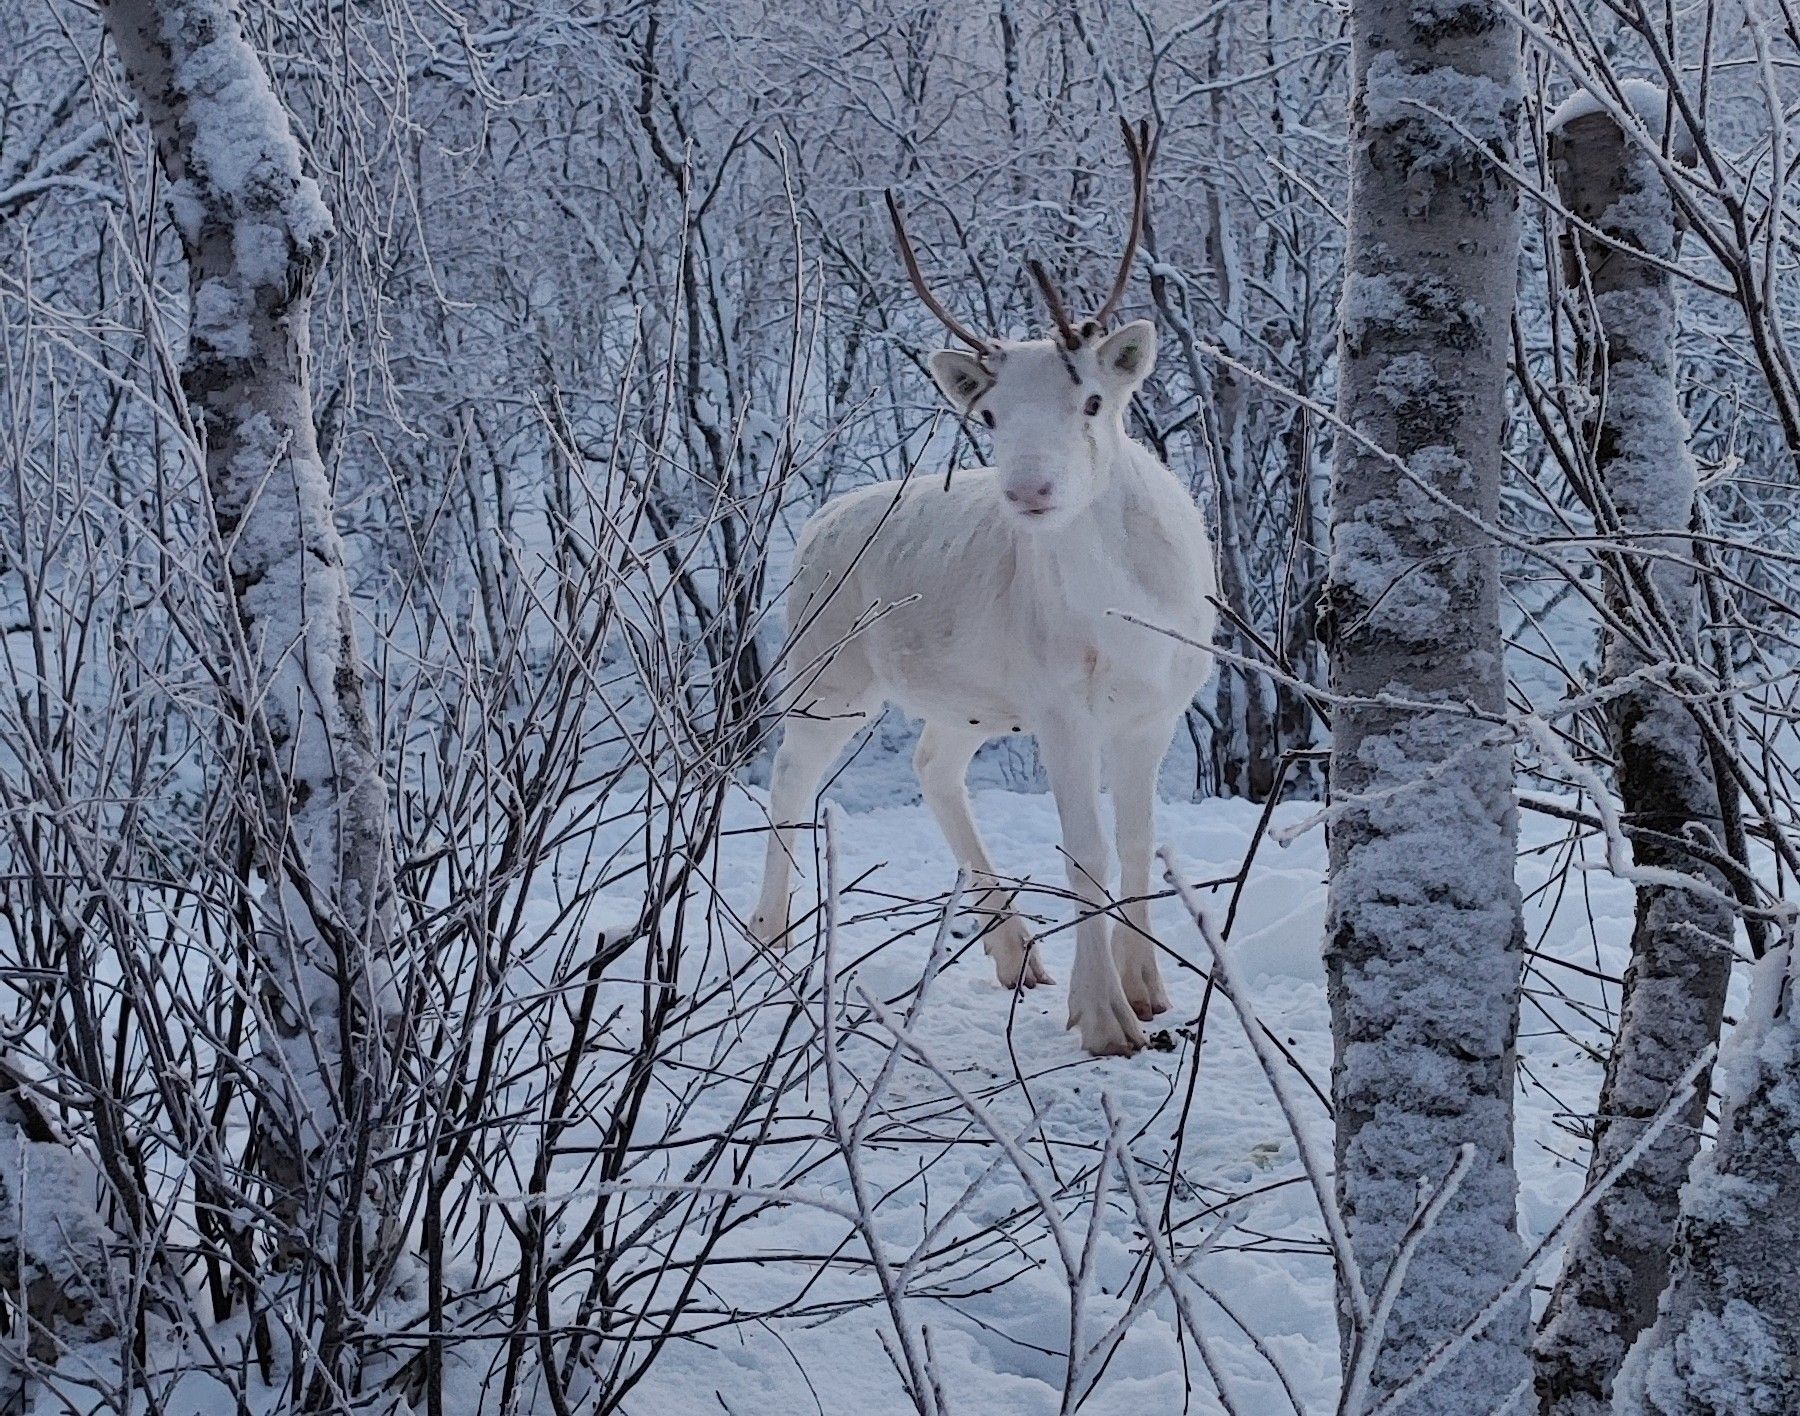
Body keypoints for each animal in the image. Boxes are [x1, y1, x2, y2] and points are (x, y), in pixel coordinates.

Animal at [749, 123, 1217, 1056]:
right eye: (992, 415)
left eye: (1093, 400)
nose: (1029, 490)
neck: (1130, 617)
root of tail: (818, 520)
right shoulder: (1059, 703)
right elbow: (1086, 849)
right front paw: (1103, 1018)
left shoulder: (1158, 705)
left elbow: (1139, 839)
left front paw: (1150, 991)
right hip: (828, 669)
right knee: (790, 771)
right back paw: (770, 932)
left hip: (969, 702)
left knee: (932, 763)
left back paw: (1015, 953)